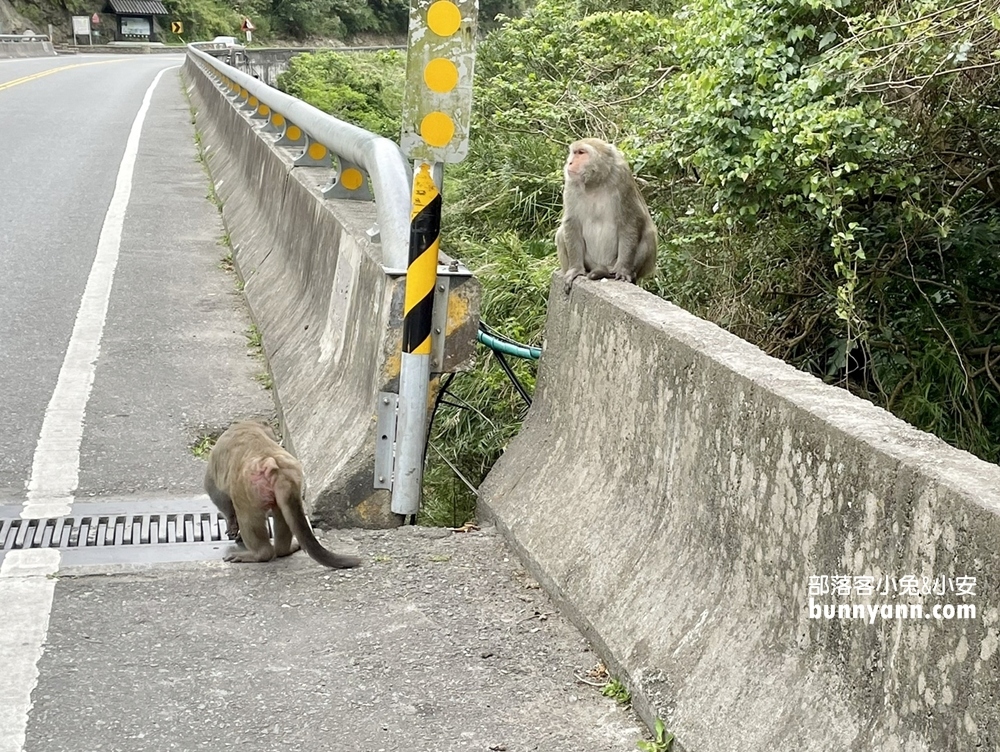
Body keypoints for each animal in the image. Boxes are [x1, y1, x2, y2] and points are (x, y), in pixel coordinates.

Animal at [201, 424, 362, 568]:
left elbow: (217, 494)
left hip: (248, 490)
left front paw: (231, 524)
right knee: (283, 515)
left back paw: (259, 554)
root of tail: (271, 462)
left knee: (248, 517)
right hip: (290, 485)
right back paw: (284, 549)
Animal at [556, 137, 656, 292]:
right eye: (574, 152)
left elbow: (631, 220)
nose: (570, 163)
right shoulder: (571, 183)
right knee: (561, 233)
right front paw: (575, 269)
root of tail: (602, 264)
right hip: (590, 262)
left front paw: (623, 270)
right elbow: (572, 222)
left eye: (581, 152)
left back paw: (620, 273)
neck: (595, 181)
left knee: (649, 234)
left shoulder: (622, 177)